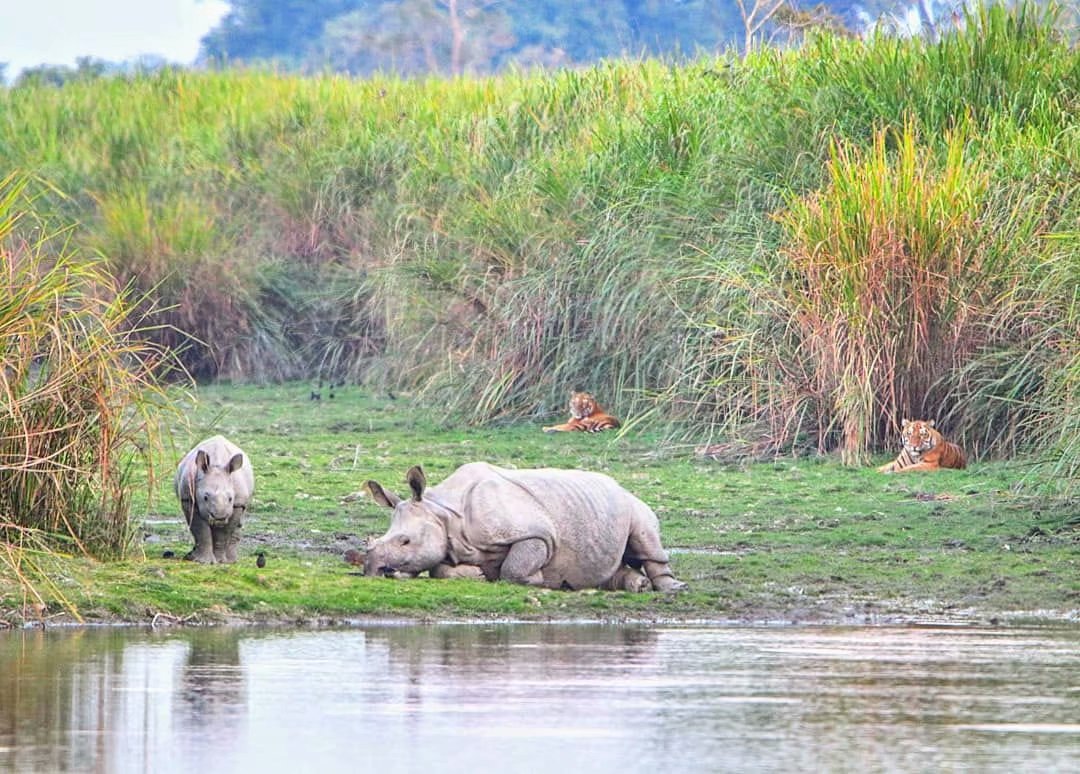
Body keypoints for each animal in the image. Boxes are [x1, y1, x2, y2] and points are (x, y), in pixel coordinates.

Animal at [174, 433, 254, 561]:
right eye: (205, 497)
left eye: (230, 499)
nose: (219, 517)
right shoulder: (188, 498)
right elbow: (200, 529)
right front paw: (203, 561)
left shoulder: (237, 504)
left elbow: (223, 534)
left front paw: (220, 561)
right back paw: (191, 556)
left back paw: (231, 560)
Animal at [362, 464, 682, 591]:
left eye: (405, 542)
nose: (374, 570)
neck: (445, 515)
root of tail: (620, 486)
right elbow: (440, 569)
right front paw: (477, 575)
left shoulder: (537, 534)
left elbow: (513, 569)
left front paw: (539, 580)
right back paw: (635, 585)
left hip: (632, 502)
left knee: (645, 536)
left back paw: (671, 588)